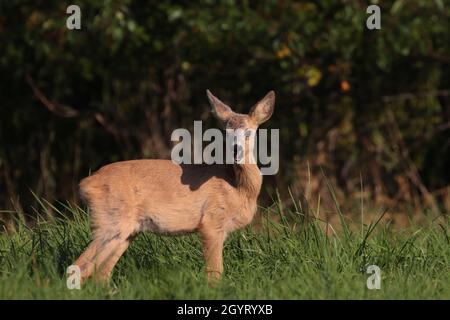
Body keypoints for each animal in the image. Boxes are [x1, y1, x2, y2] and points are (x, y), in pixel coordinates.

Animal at [74, 89, 274, 284]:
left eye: (248, 132)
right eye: (227, 132)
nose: (235, 150)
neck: (238, 188)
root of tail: (85, 183)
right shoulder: (211, 221)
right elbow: (215, 274)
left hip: (125, 232)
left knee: (100, 274)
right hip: (111, 221)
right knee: (79, 268)